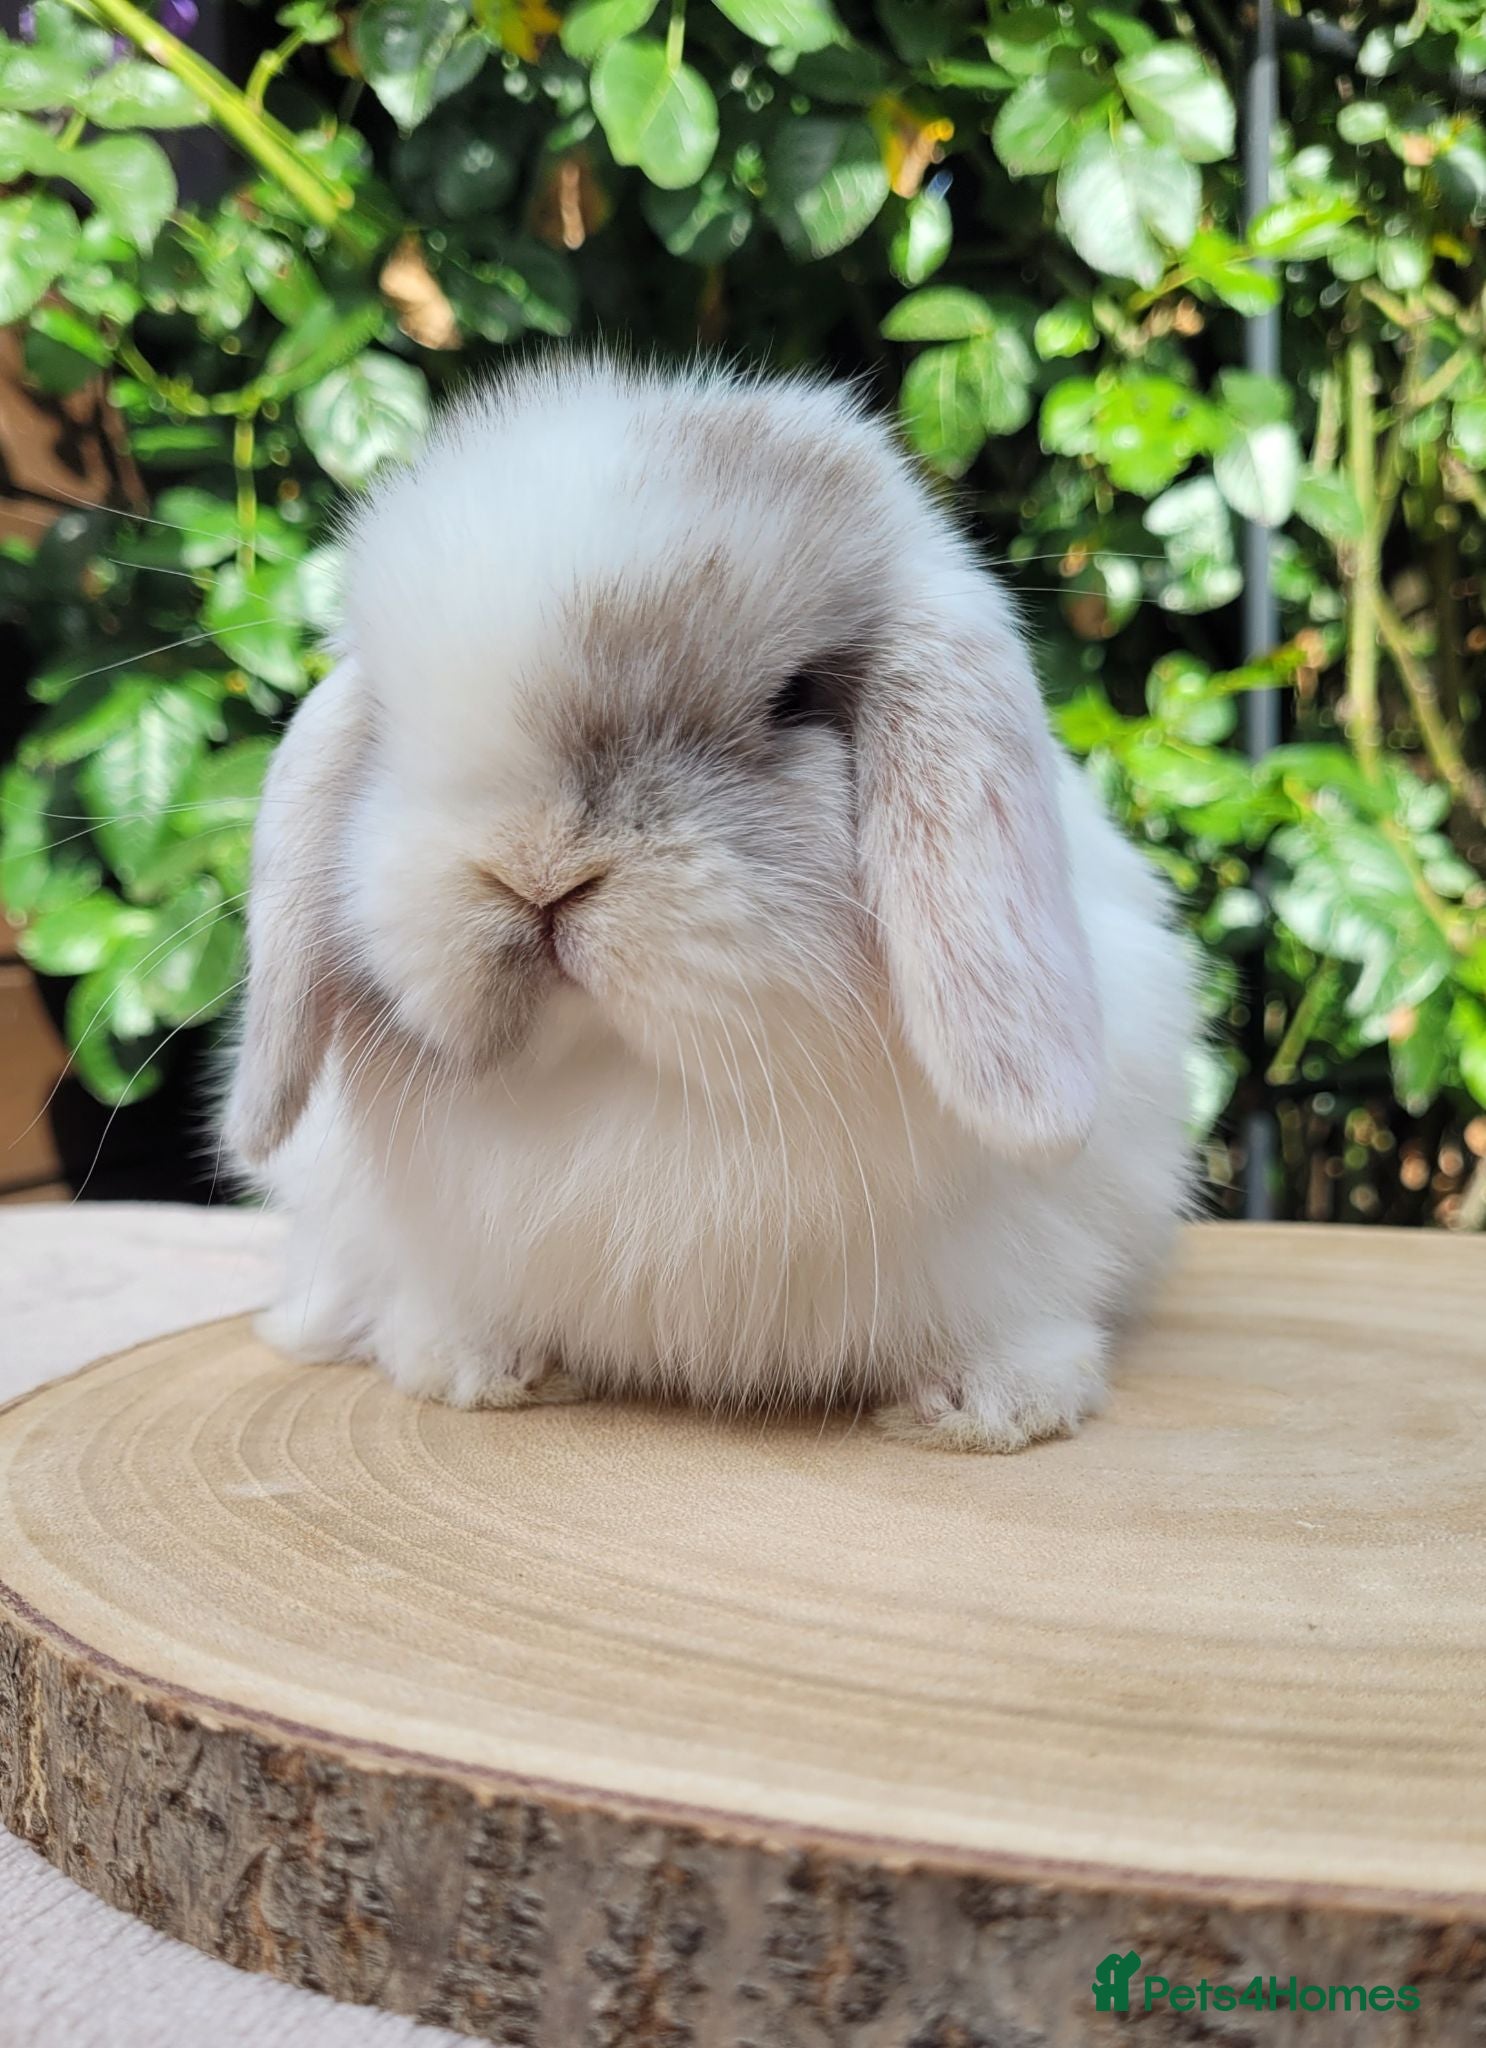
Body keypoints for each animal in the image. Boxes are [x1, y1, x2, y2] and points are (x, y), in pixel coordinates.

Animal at [224, 355, 1197, 1452]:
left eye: (795, 699)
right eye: (393, 715)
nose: (535, 872)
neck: (627, 1077)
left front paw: (994, 1406)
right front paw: (465, 1368)